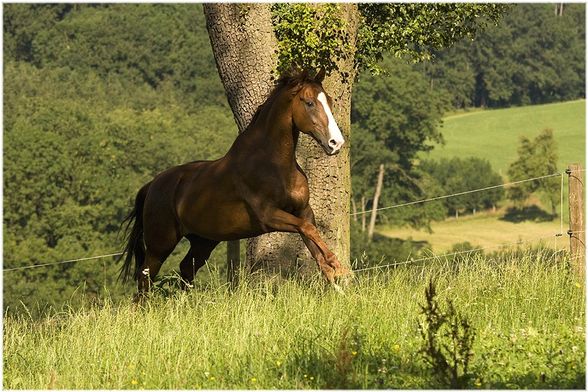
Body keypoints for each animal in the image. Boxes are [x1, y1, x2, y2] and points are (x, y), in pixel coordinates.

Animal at [119, 68, 350, 294]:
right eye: (309, 102)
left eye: (329, 101)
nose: (336, 143)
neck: (273, 164)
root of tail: (152, 186)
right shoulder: (269, 216)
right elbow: (308, 230)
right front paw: (339, 268)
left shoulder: (303, 211)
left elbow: (312, 240)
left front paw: (337, 283)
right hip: (161, 244)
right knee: (144, 278)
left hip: (203, 241)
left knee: (186, 269)